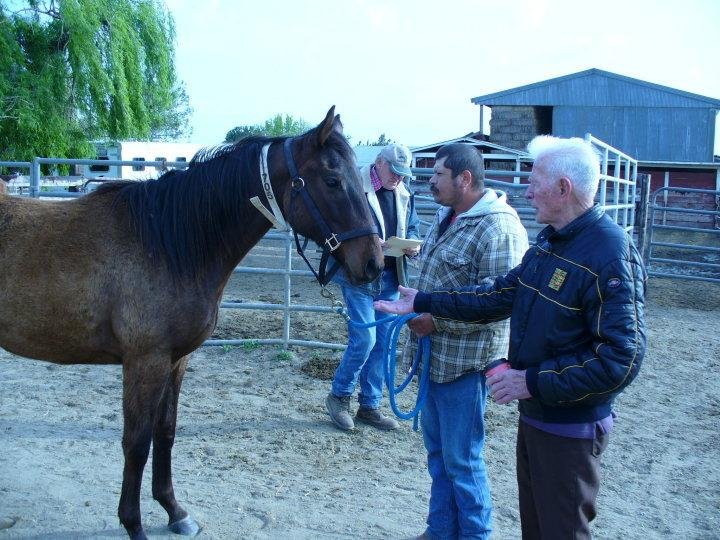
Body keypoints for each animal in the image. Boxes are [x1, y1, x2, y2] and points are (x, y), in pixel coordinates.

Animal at [0, 107, 383, 539]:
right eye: (333, 180)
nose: (374, 262)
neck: (168, 243)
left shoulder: (175, 360)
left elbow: (165, 432)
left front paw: (174, 511)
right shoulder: (145, 362)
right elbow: (137, 442)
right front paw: (134, 524)